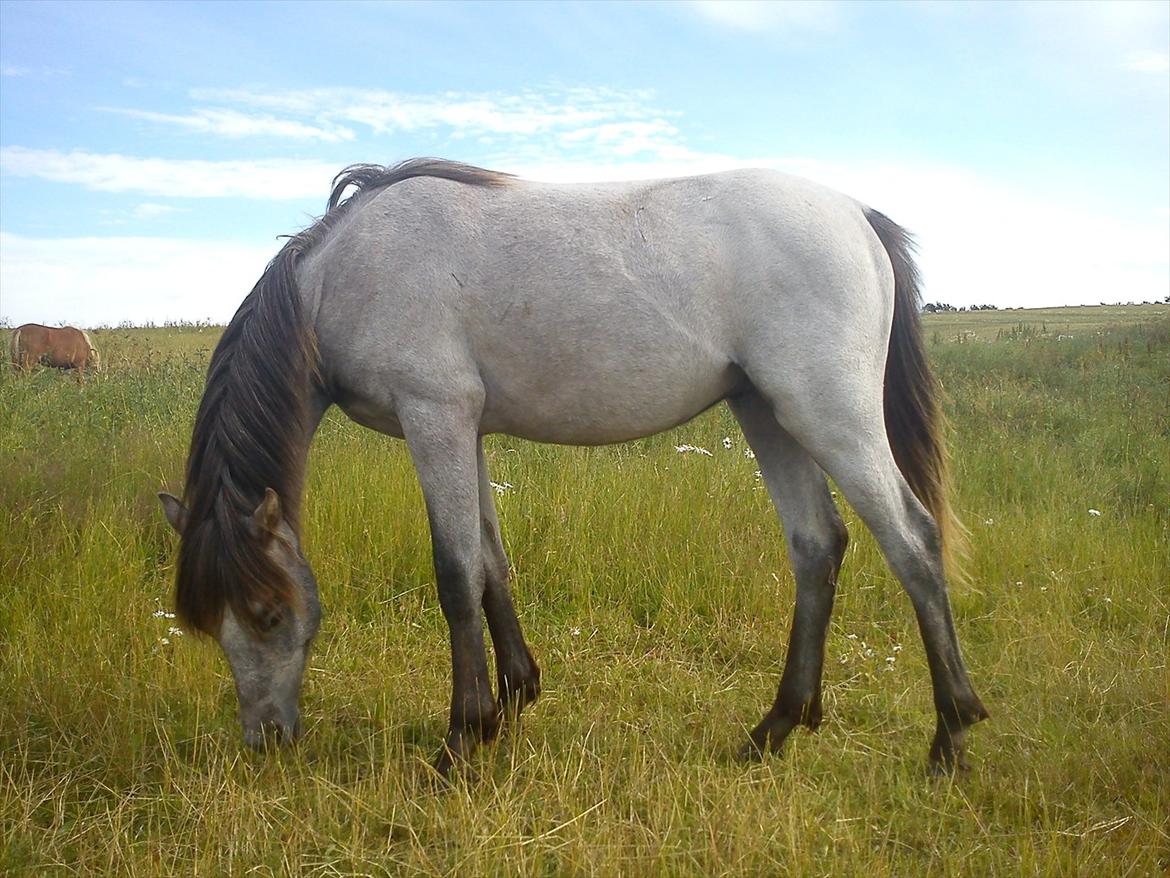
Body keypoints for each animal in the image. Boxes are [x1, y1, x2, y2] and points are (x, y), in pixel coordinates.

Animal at [158, 158, 988, 777]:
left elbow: (455, 575)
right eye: (209, 623)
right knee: (818, 546)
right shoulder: (467, 430)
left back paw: (949, 737)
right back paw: (773, 729)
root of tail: (854, 212)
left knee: (912, 542)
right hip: (767, 412)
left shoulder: (435, 418)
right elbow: (491, 562)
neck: (345, 272)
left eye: (268, 615)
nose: (265, 740)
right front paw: (512, 701)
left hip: (827, 412)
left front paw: (461, 739)